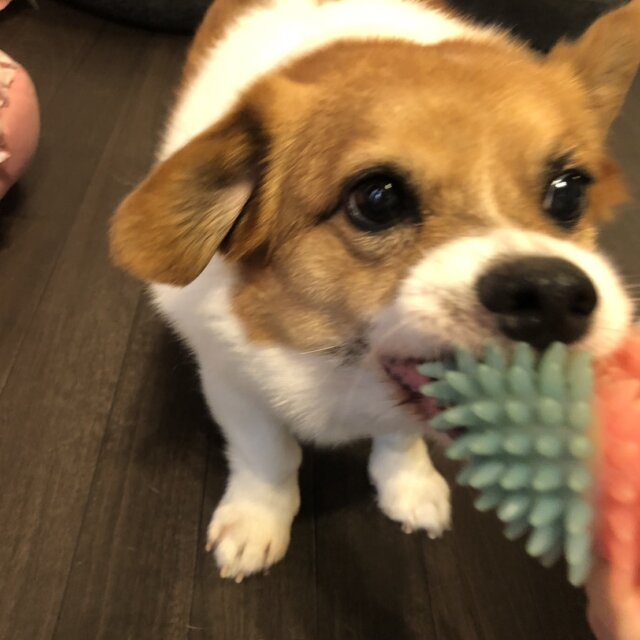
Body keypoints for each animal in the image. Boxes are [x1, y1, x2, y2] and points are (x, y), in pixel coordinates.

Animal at [110, 0, 640, 581]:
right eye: (377, 198)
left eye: (569, 191)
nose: (551, 295)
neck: (339, 366)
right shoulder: (233, 382)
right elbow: (267, 457)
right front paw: (257, 519)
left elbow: (400, 438)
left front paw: (407, 484)